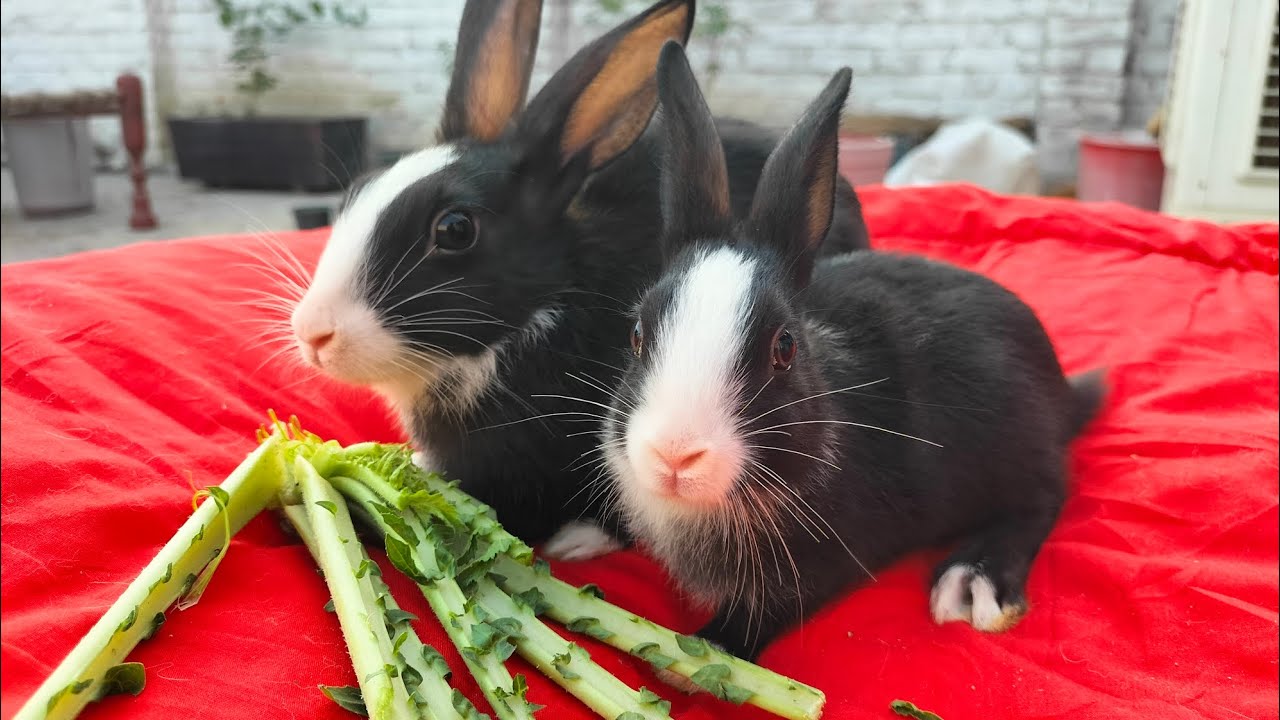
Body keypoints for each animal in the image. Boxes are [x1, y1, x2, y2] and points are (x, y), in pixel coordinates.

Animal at [597, 42, 1106, 663]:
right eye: (636, 334)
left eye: (784, 349)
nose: (673, 456)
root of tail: (1060, 387)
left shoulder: (826, 562)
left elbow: (757, 619)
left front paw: (701, 654)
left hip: (1018, 445)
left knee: (1045, 498)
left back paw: (973, 579)